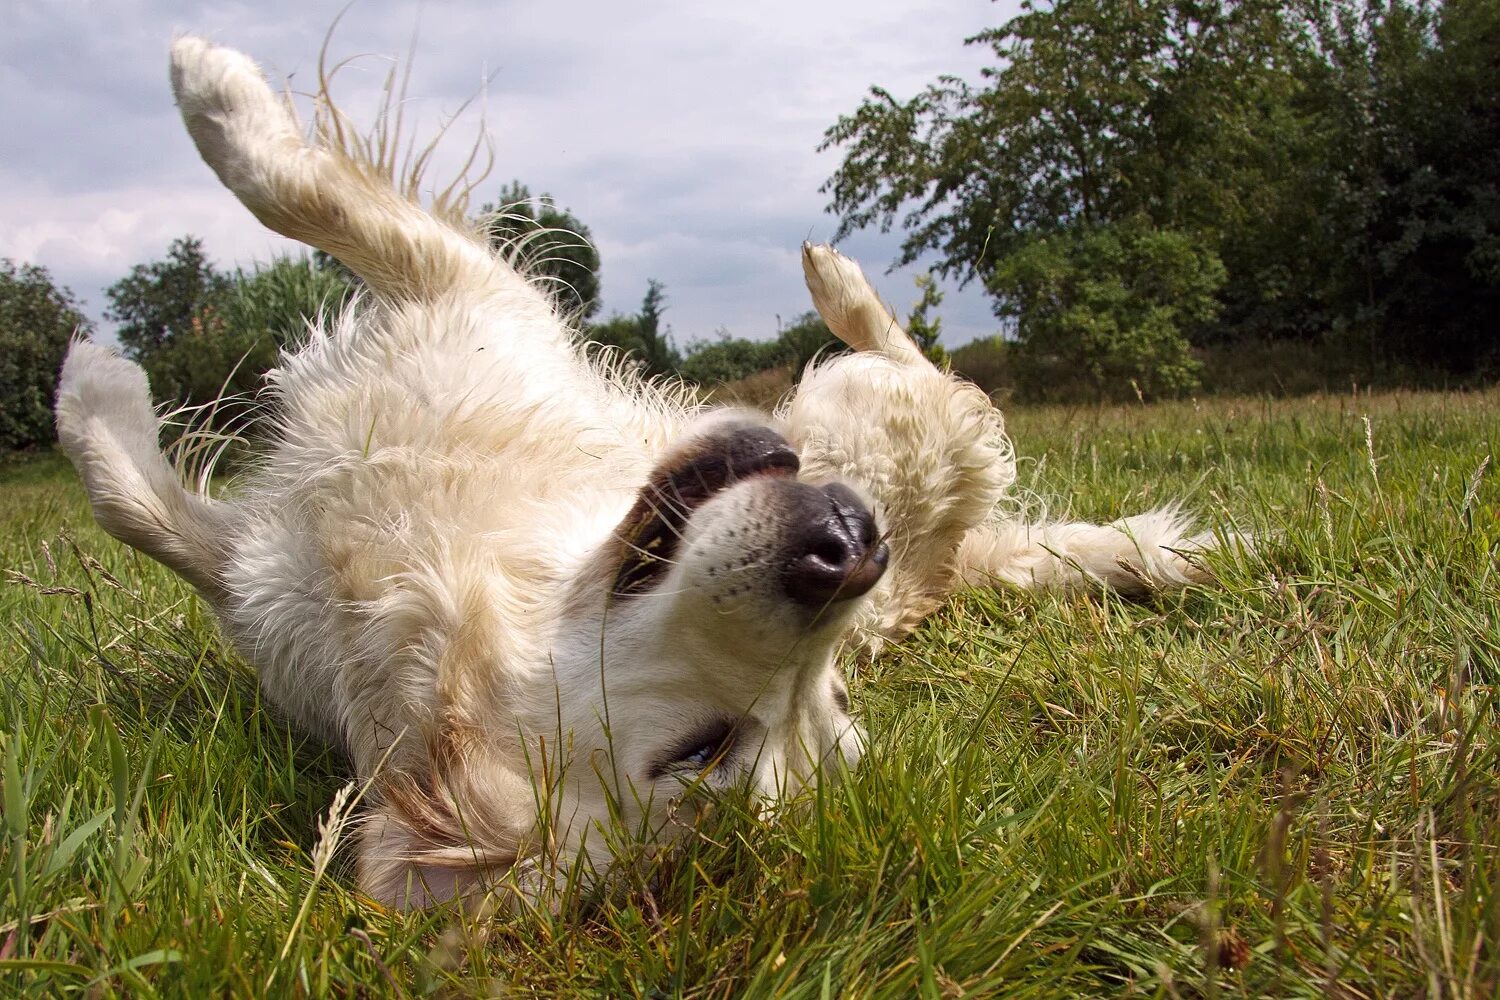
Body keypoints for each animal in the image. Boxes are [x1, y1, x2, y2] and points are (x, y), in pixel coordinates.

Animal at [55, 39, 1218, 911]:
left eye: (703, 755)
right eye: (835, 696)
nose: (849, 552)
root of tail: (932, 552)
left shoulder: (472, 289)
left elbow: (301, 189)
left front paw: (204, 85)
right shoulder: (279, 570)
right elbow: (141, 506)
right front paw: (98, 387)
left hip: (900, 425)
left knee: (943, 382)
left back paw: (844, 291)